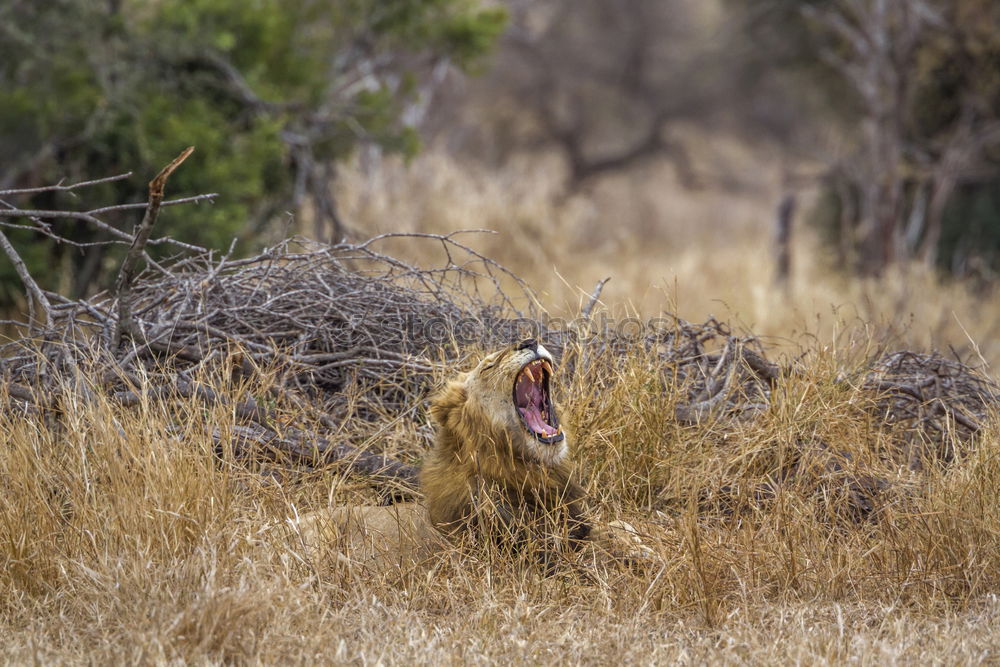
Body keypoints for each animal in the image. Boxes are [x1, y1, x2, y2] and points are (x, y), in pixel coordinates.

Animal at [292, 340, 648, 576]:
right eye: (489, 365)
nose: (529, 341)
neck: (524, 467)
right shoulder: (522, 556)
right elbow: (591, 552)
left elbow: (617, 524)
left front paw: (638, 545)